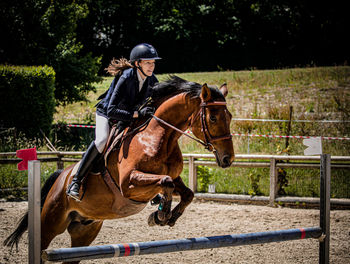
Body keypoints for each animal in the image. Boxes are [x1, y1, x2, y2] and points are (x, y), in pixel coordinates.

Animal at [3, 76, 235, 262]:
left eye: (230, 117)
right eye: (213, 117)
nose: (228, 158)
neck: (158, 136)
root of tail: (62, 177)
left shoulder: (172, 177)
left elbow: (186, 193)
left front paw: (167, 216)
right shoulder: (128, 183)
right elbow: (165, 182)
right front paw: (160, 215)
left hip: (85, 230)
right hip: (50, 222)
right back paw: (74, 188)